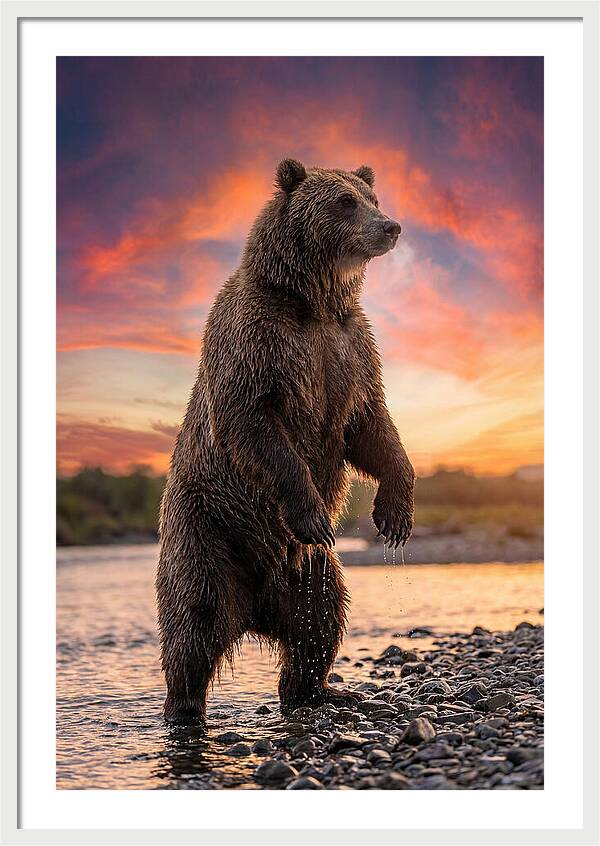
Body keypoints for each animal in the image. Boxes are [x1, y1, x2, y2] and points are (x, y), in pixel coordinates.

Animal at [156, 159, 415, 728]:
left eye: (371, 196)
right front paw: (315, 512)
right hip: (208, 530)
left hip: (308, 572)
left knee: (321, 619)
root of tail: (254, 609)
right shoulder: (260, 342)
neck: (313, 302)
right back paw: (184, 710)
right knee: (194, 622)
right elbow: (255, 424)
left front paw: (395, 514)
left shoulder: (350, 350)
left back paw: (323, 691)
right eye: (344, 201)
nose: (390, 227)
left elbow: (372, 427)